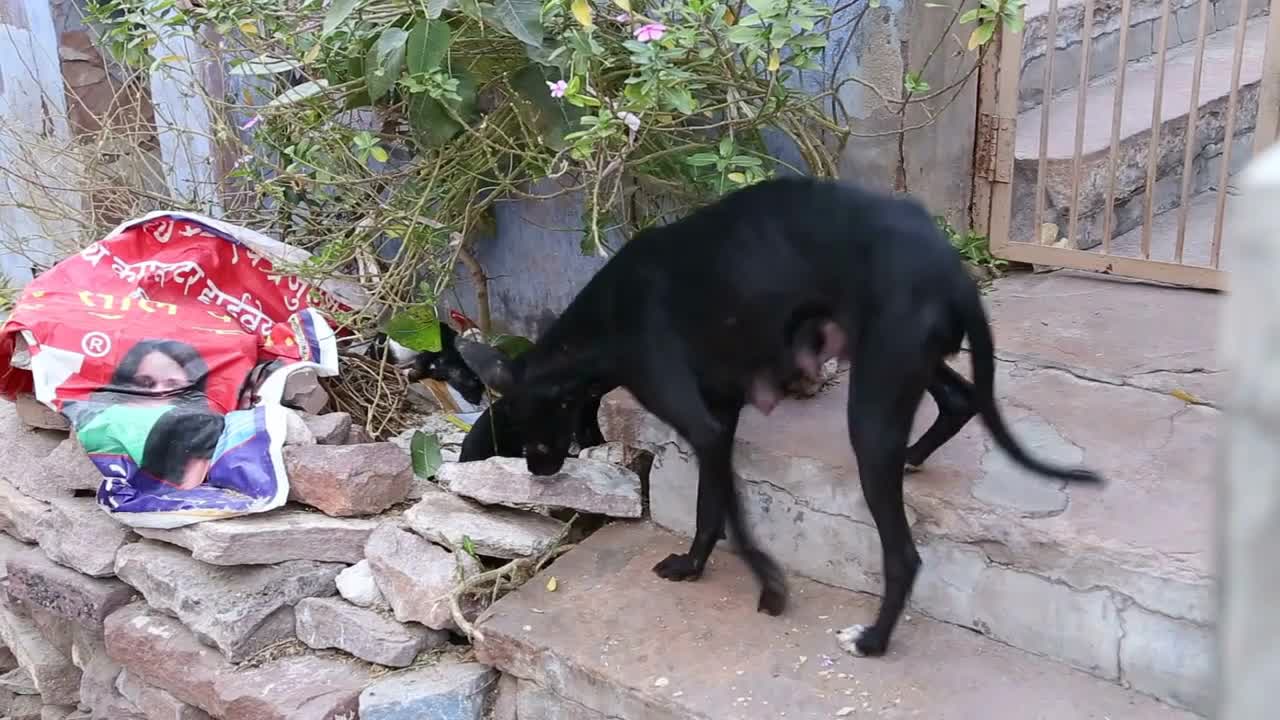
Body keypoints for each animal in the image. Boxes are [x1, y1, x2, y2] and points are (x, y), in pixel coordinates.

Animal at [450, 178, 1100, 655]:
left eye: (523, 423)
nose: (536, 475)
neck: (606, 318)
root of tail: (952, 269)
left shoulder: (702, 422)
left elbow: (733, 521)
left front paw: (769, 587)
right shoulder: (720, 420)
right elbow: (710, 509)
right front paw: (693, 565)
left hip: (871, 409)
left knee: (904, 554)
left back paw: (874, 641)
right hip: (896, 361)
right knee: (960, 399)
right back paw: (915, 458)